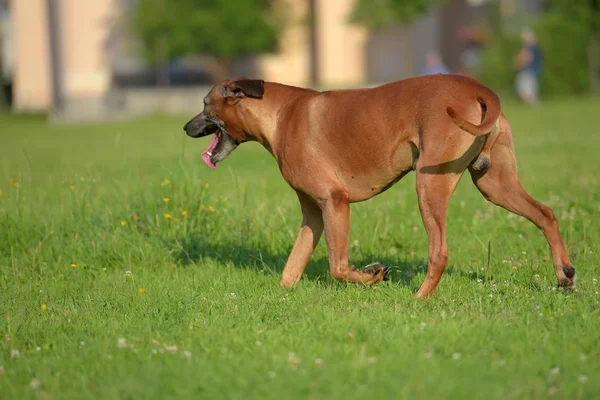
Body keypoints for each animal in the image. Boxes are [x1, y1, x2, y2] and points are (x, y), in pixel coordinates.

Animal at [184, 75, 576, 298]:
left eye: (205, 104)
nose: (187, 127)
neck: (280, 114)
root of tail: (480, 90)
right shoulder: (313, 214)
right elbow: (291, 269)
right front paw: (285, 295)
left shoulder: (334, 202)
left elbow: (339, 267)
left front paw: (373, 276)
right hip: (496, 184)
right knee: (546, 214)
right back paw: (565, 274)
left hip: (429, 185)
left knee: (439, 253)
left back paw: (418, 300)